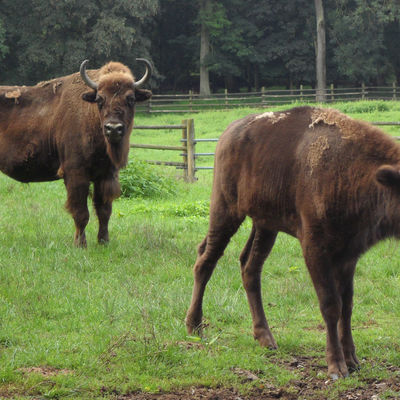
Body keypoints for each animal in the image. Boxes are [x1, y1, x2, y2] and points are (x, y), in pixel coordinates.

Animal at [0, 58, 152, 247]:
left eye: (130, 99)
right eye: (99, 99)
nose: (113, 129)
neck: (90, 114)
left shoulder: (106, 175)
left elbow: (104, 211)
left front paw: (104, 241)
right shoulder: (76, 174)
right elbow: (81, 213)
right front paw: (80, 244)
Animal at [187, 105, 400, 378]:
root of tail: (228, 133)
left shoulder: (349, 255)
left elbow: (348, 306)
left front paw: (352, 360)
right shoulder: (315, 249)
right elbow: (331, 304)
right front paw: (336, 367)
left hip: (265, 225)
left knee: (249, 267)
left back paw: (265, 338)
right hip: (225, 210)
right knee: (206, 261)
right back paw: (194, 327)